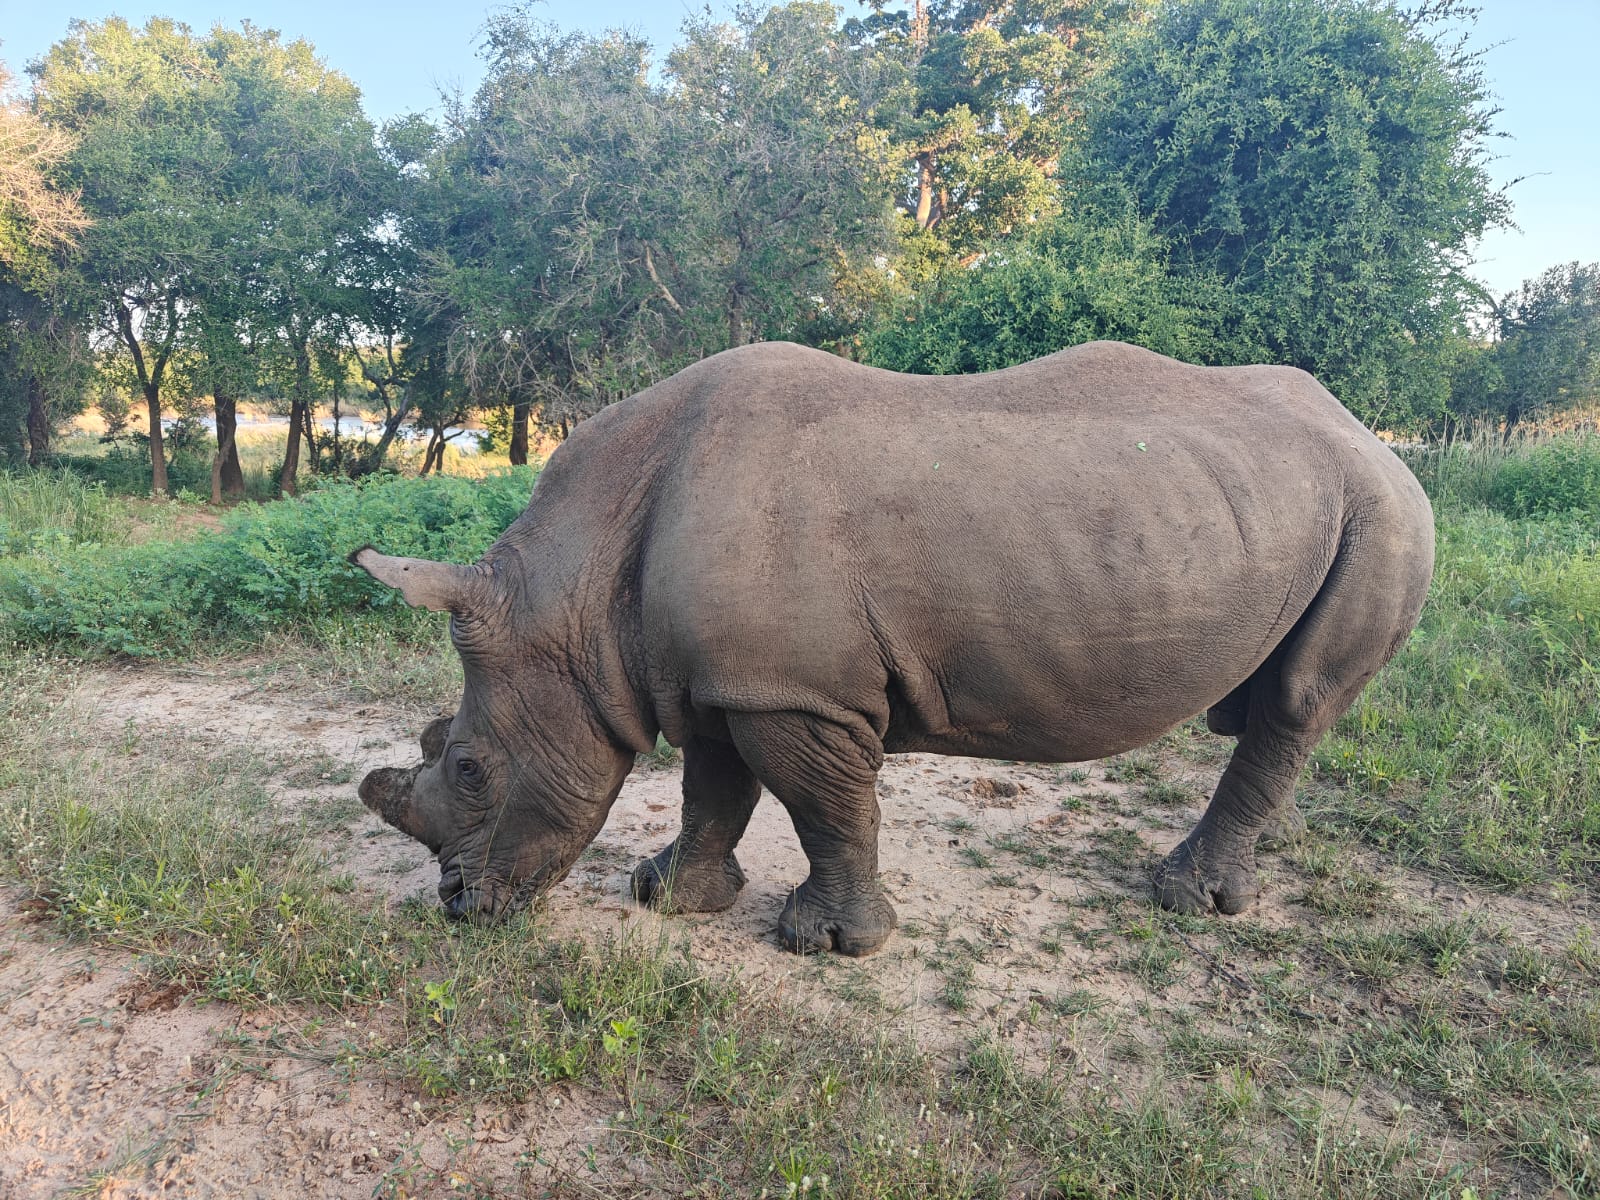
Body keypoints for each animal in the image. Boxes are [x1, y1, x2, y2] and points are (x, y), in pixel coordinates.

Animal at [354, 340, 1433, 955]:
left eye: (470, 766)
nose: (456, 909)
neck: (571, 597)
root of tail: (1369, 432)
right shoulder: (726, 680)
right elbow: (714, 791)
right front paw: (668, 899)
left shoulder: (794, 691)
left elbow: (823, 807)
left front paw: (828, 944)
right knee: (1276, 704)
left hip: (1380, 511)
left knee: (1296, 701)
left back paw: (1189, 903)